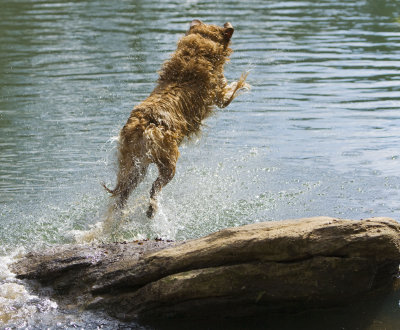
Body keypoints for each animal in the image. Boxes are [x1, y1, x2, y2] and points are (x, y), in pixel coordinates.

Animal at [101, 19, 248, 218]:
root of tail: (145, 125)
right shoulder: (219, 97)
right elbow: (231, 89)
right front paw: (242, 83)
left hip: (134, 165)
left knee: (124, 192)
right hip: (168, 163)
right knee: (155, 187)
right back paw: (151, 210)